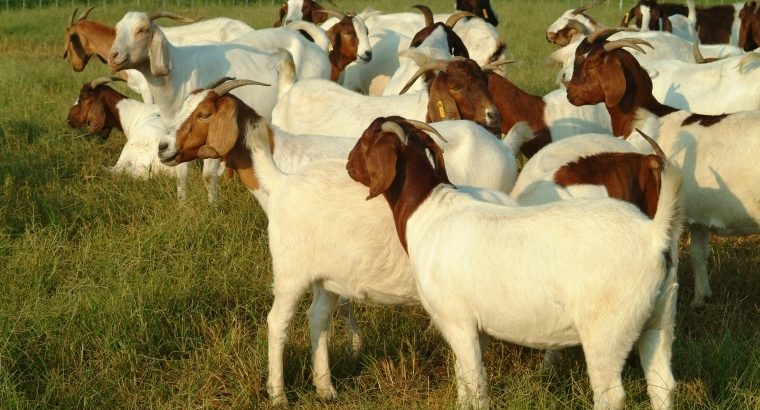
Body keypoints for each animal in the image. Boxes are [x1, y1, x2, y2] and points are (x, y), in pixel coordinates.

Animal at [246, 115, 516, 404]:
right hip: (290, 269)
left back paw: (325, 389)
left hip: (328, 276)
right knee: (278, 322)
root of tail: (283, 182)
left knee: (318, 317)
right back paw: (278, 395)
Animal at [346, 116, 683, 410]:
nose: (349, 164)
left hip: (608, 329)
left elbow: (476, 384)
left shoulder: (457, 321)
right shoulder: (475, 328)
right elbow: (463, 380)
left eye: (366, 140)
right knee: (662, 385)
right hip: (660, 316)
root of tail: (653, 234)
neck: (428, 210)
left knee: (610, 394)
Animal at [566, 28, 760, 307]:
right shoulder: (697, 216)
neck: (647, 118)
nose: (570, 93)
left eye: (590, 63)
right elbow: (699, 255)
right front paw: (700, 299)